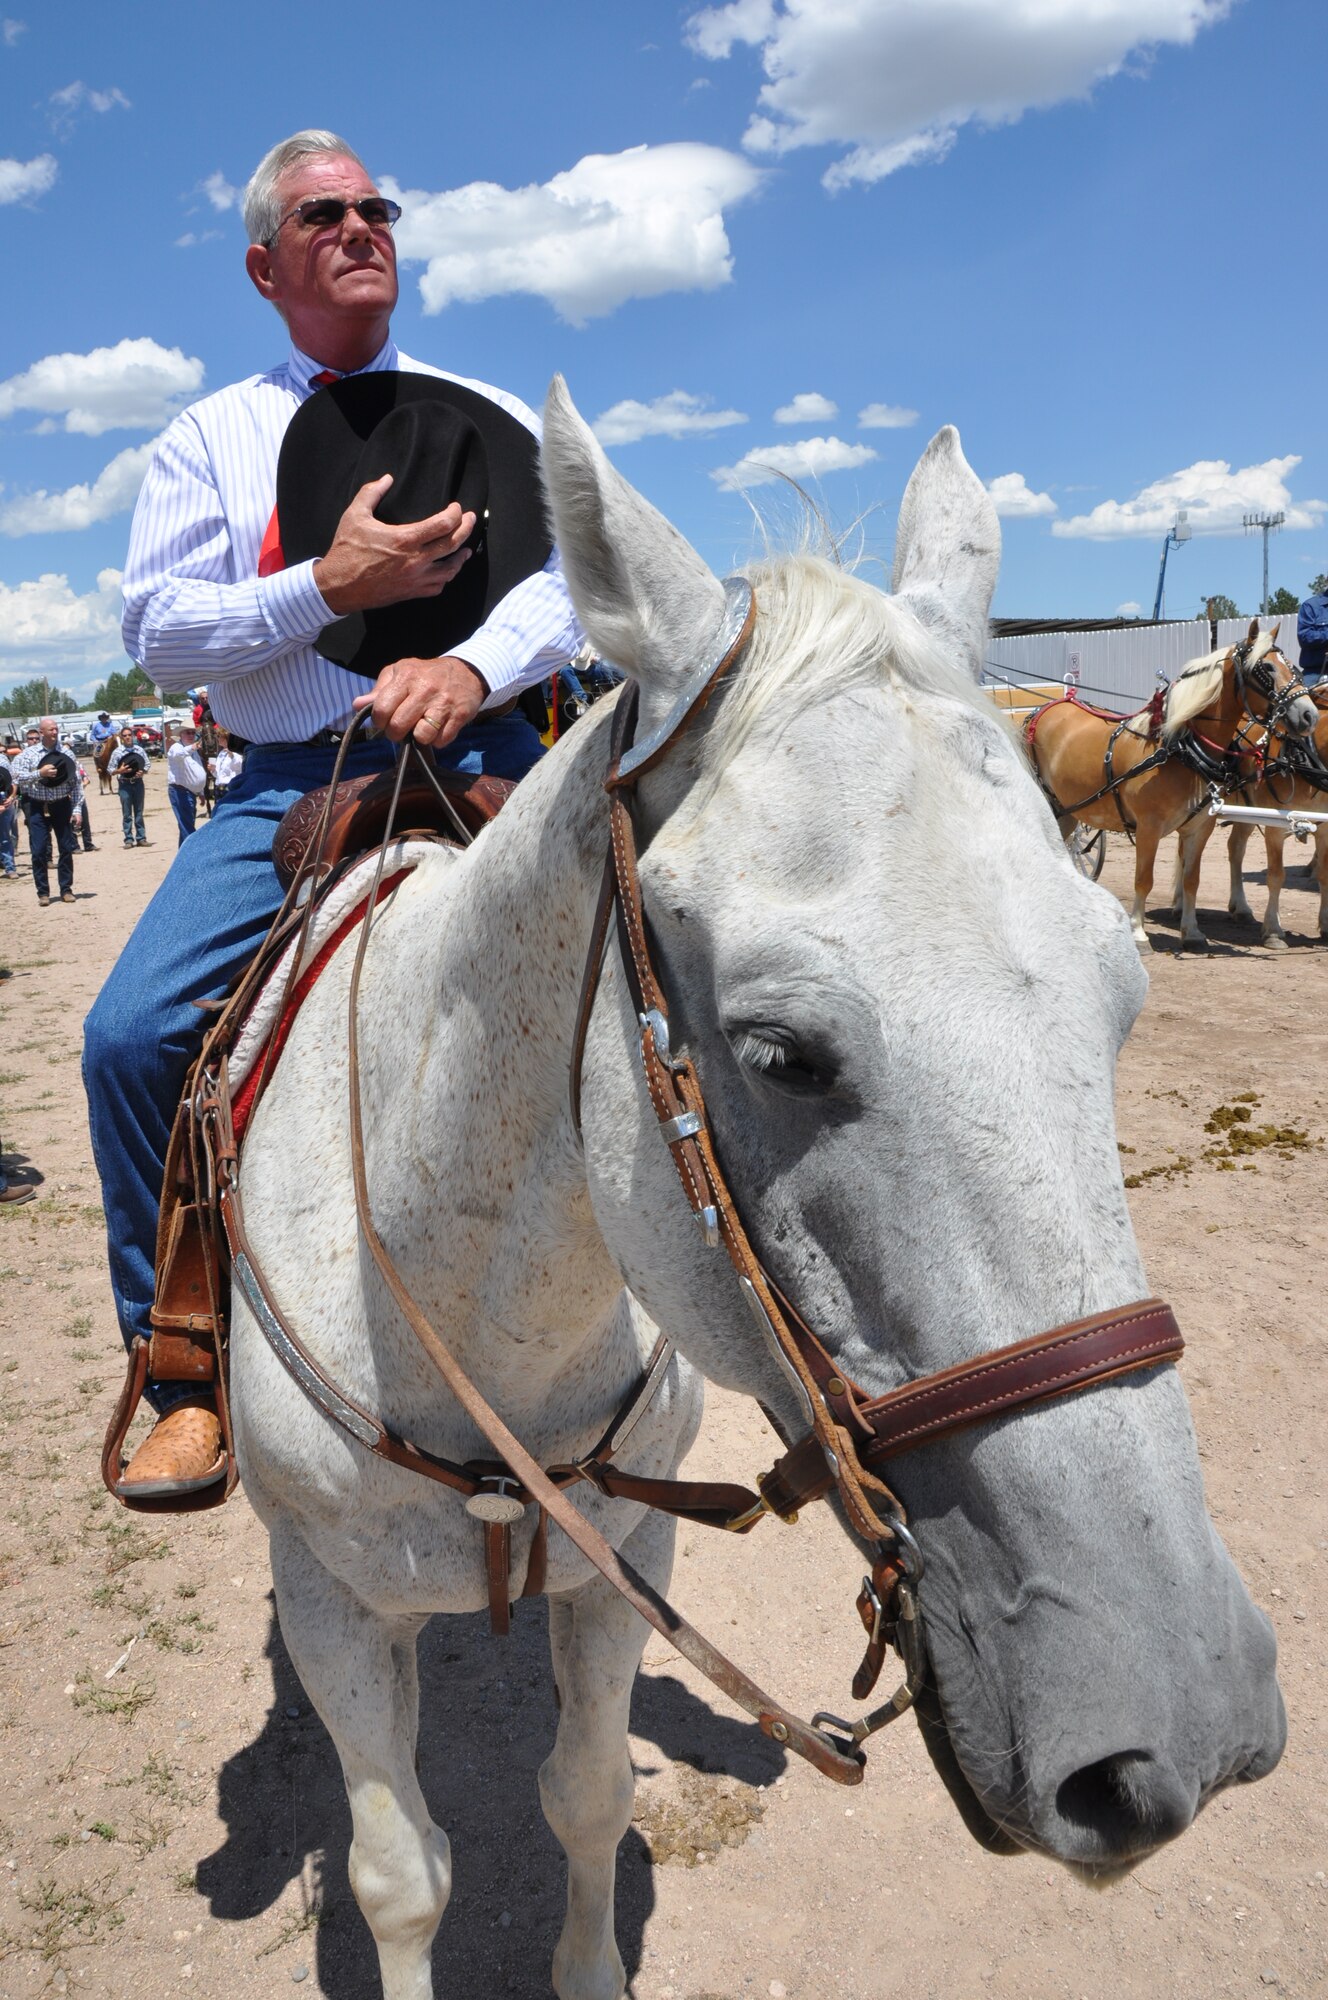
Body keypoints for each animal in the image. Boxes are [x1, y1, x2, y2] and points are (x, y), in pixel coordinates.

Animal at [1020, 632, 1312, 952]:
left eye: (1293, 666)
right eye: (1266, 668)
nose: (1309, 714)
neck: (1181, 750)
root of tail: (1044, 708)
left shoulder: (1200, 827)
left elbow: (1191, 879)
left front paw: (1192, 932)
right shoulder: (1149, 826)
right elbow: (1144, 879)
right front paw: (1138, 934)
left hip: (1067, 810)